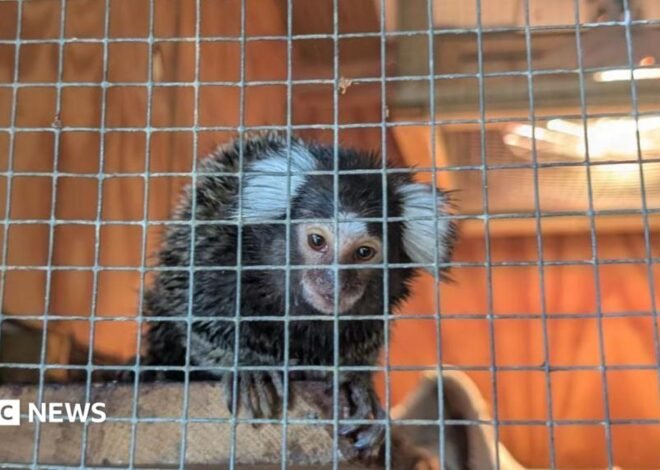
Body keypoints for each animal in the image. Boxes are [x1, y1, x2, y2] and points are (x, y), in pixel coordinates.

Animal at [128, 131, 456, 457]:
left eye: (364, 252)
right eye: (317, 241)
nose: (334, 282)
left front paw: (356, 383)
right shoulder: (214, 247)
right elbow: (197, 316)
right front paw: (248, 367)